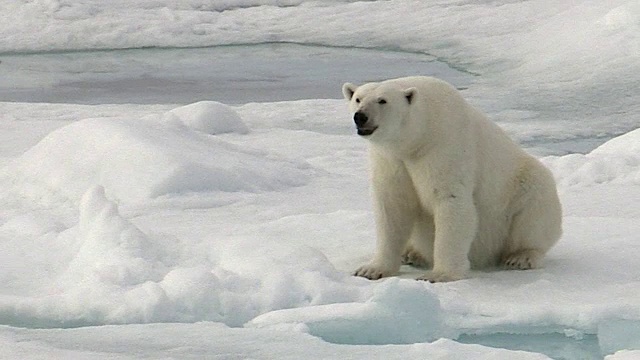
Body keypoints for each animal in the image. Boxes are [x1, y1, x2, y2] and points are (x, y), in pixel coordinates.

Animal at [344, 76, 560, 284]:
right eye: (358, 98)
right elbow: (392, 207)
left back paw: (521, 257)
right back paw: (412, 253)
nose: (360, 116)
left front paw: (439, 275)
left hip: (521, 190)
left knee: (534, 211)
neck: (418, 135)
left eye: (382, 100)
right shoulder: (389, 159)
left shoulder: (444, 147)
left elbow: (451, 202)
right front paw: (371, 270)